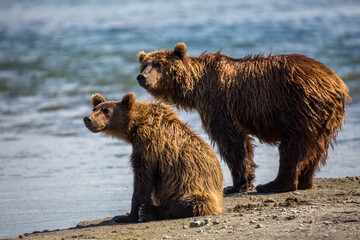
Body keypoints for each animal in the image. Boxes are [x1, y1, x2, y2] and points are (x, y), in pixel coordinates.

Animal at [83, 93, 224, 222]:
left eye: (106, 110)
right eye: (94, 109)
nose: (87, 118)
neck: (136, 126)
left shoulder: (149, 146)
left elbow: (143, 179)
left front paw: (127, 216)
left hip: (197, 189)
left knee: (190, 204)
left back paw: (149, 211)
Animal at [136, 42, 350, 194]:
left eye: (158, 64)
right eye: (144, 64)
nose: (141, 77)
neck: (197, 88)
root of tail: (337, 83)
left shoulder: (219, 103)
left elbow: (230, 142)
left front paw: (236, 184)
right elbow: (242, 144)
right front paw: (244, 181)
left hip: (299, 105)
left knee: (293, 144)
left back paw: (276, 184)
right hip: (326, 118)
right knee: (317, 147)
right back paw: (305, 181)